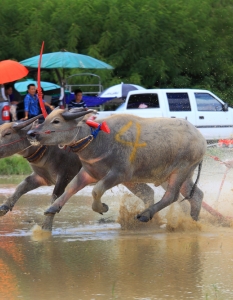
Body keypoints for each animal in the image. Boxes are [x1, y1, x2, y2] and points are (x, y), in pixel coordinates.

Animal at [26, 108, 207, 223]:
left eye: (56, 121)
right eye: (46, 119)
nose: (31, 133)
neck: (98, 138)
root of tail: (201, 138)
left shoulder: (119, 174)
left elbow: (96, 190)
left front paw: (102, 207)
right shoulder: (88, 172)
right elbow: (71, 188)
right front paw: (53, 207)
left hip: (181, 171)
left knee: (172, 196)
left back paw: (145, 214)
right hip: (179, 175)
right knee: (197, 195)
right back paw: (193, 220)